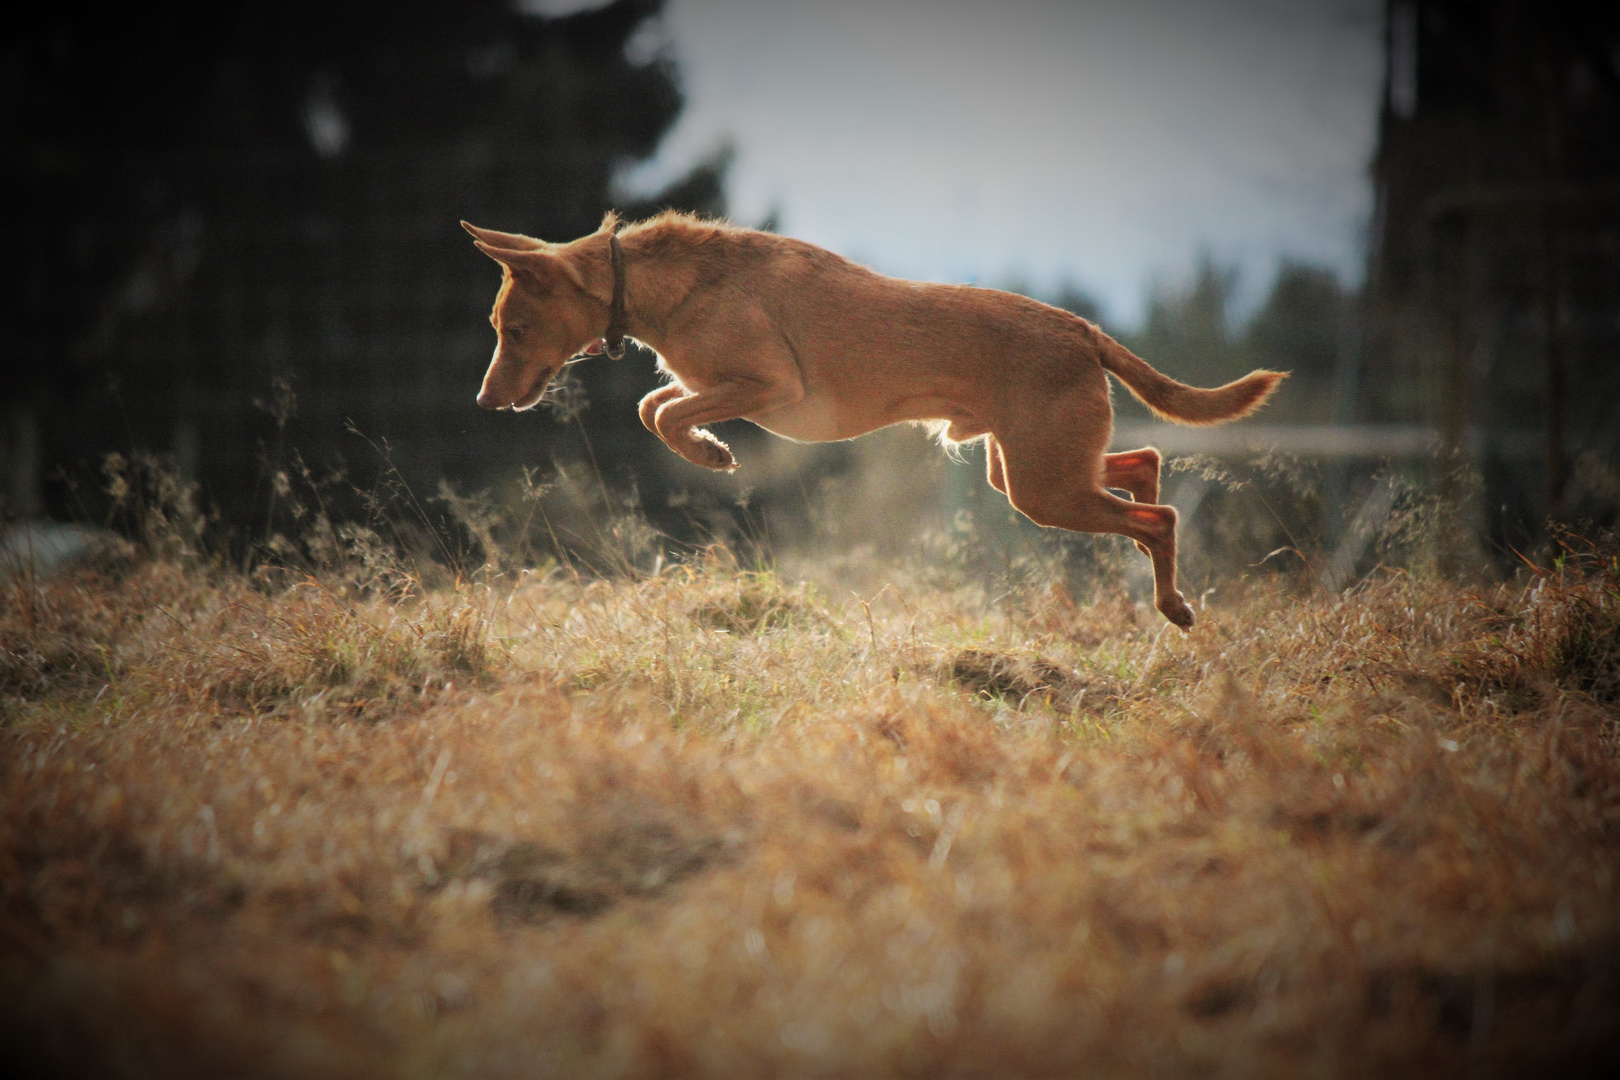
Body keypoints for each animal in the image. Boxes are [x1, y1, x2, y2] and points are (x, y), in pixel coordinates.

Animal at [463, 212, 1283, 628]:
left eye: (513, 328)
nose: (483, 403)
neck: (657, 279)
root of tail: (1083, 329)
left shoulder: (768, 383)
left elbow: (659, 412)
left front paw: (710, 453)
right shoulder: (721, 386)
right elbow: (655, 405)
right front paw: (706, 446)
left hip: (1040, 484)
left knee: (1161, 518)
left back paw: (1173, 603)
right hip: (1026, 467)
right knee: (1145, 466)